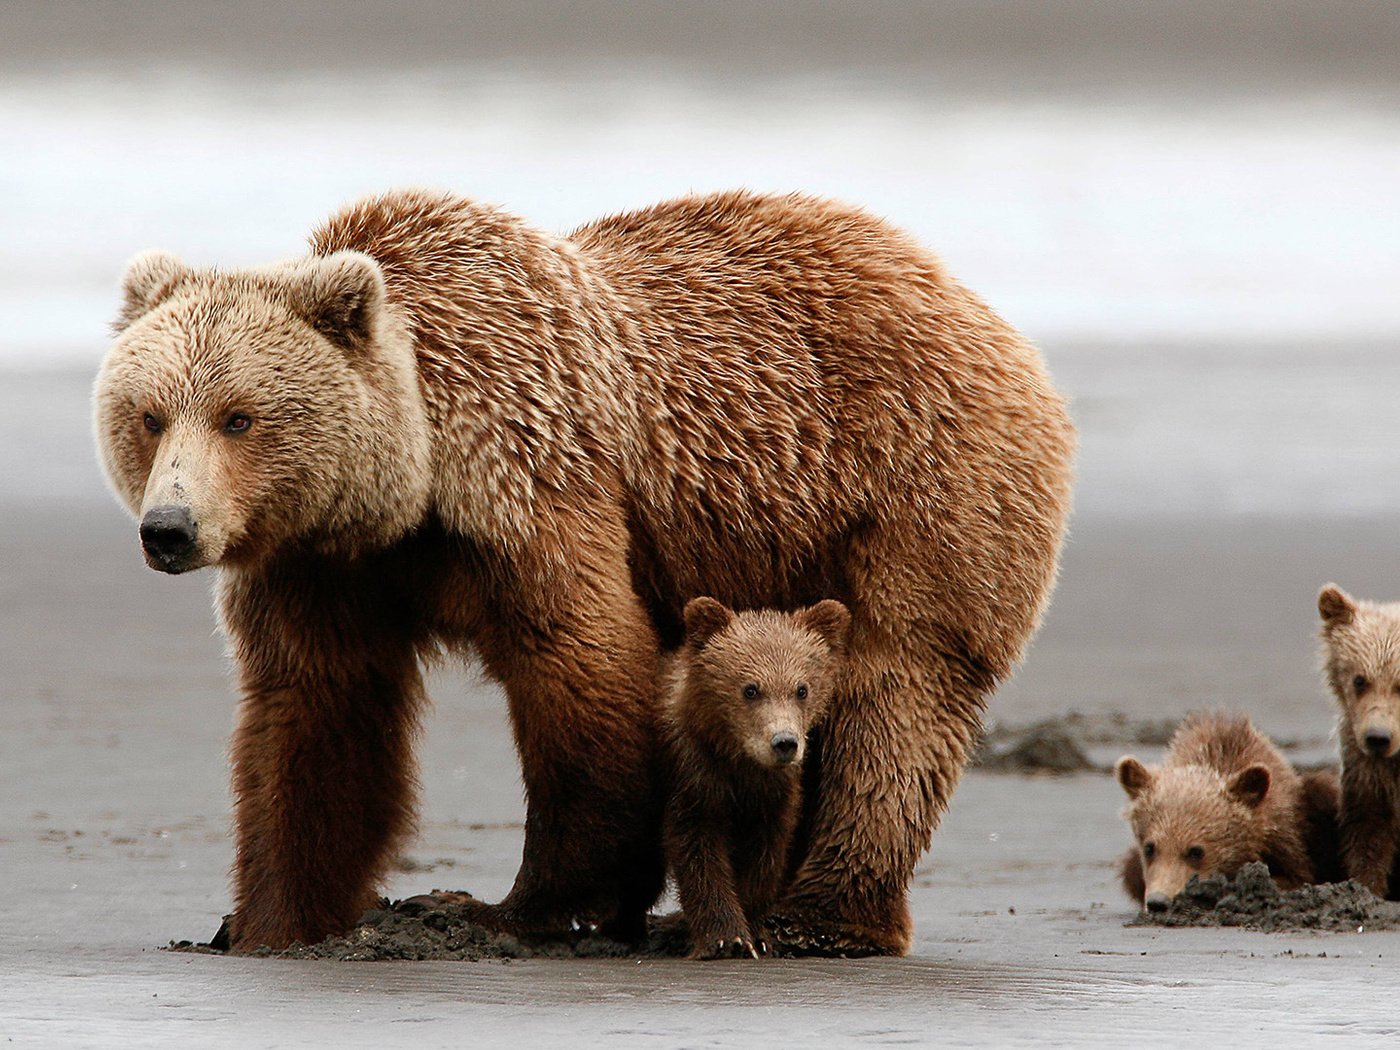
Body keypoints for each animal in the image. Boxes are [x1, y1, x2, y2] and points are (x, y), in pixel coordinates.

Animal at [660, 596, 845, 957]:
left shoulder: (775, 795)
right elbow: (699, 852)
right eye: (750, 689)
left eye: (802, 688)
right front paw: (725, 937)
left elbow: (765, 856)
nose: (784, 742)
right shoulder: (693, 776)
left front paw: (756, 931)